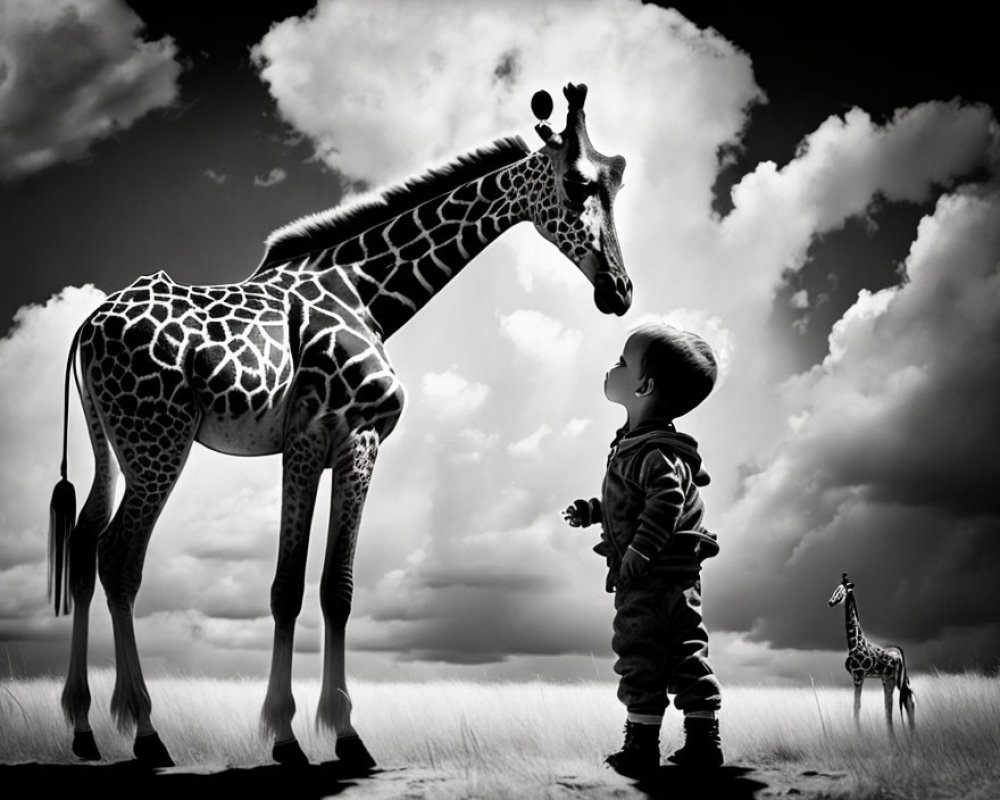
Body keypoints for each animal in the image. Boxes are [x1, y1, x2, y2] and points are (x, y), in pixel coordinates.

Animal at [47, 84, 632, 772]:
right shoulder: (330, 439)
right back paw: (145, 732)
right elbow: (297, 588)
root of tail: (86, 326)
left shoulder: (333, 444)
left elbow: (335, 589)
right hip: (158, 443)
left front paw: (334, 733)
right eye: (576, 183)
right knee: (119, 558)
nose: (620, 292)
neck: (367, 293)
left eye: (616, 184)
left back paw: (83, 728)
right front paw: (297, 736)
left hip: (111, 445)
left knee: (84, 545)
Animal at [828, 572, 916, 736]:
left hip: (888, 678)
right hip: (897, 679)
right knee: (907, 699)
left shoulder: (858, 675)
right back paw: (910, 732)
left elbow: (857, 706)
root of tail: (900, 653)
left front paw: (859, 735)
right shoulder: (857, 676)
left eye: (842, 591)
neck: (854, 644)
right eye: (835, 589)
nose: (830, 602)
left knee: (892, 705)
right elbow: (857, 706)